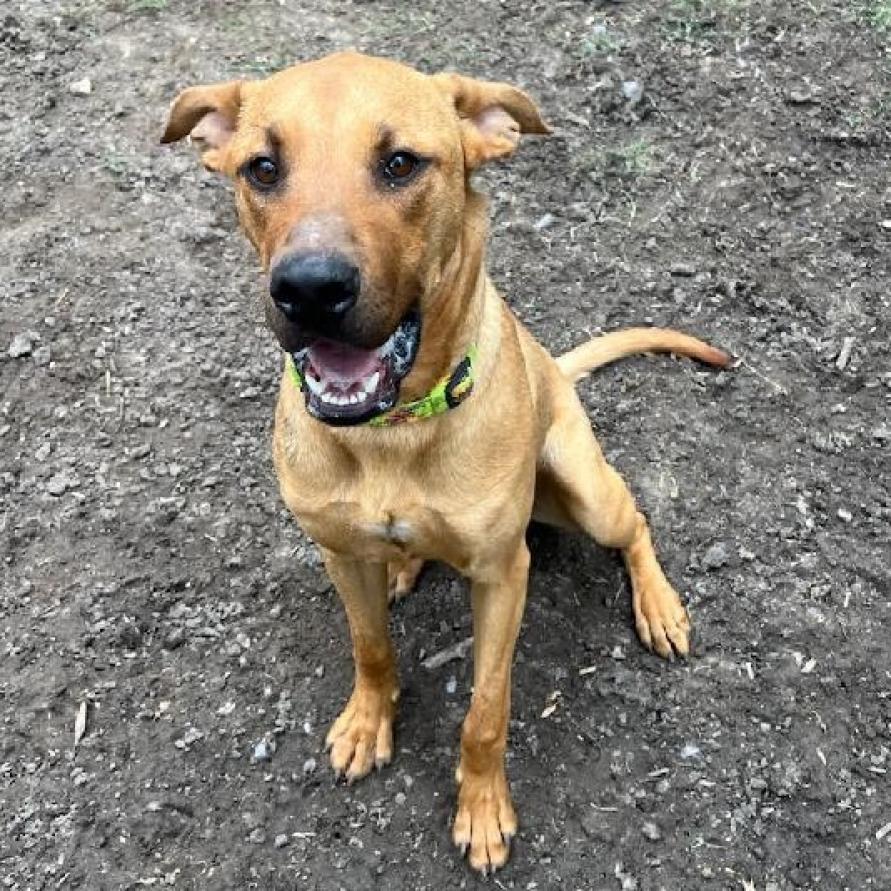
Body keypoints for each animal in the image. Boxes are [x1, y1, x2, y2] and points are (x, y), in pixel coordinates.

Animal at [162, 52, 732, 876]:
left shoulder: (502, 574)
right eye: (261, 168)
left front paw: (483, 807)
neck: (391, 433)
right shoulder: (338, 553)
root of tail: (553, 367)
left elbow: (485, 710)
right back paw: (405, 564)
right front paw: (369, 720)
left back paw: (657, 604)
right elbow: (370, 647)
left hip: (584, 486)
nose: (308, 289)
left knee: (634, 526)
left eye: (400, 163)